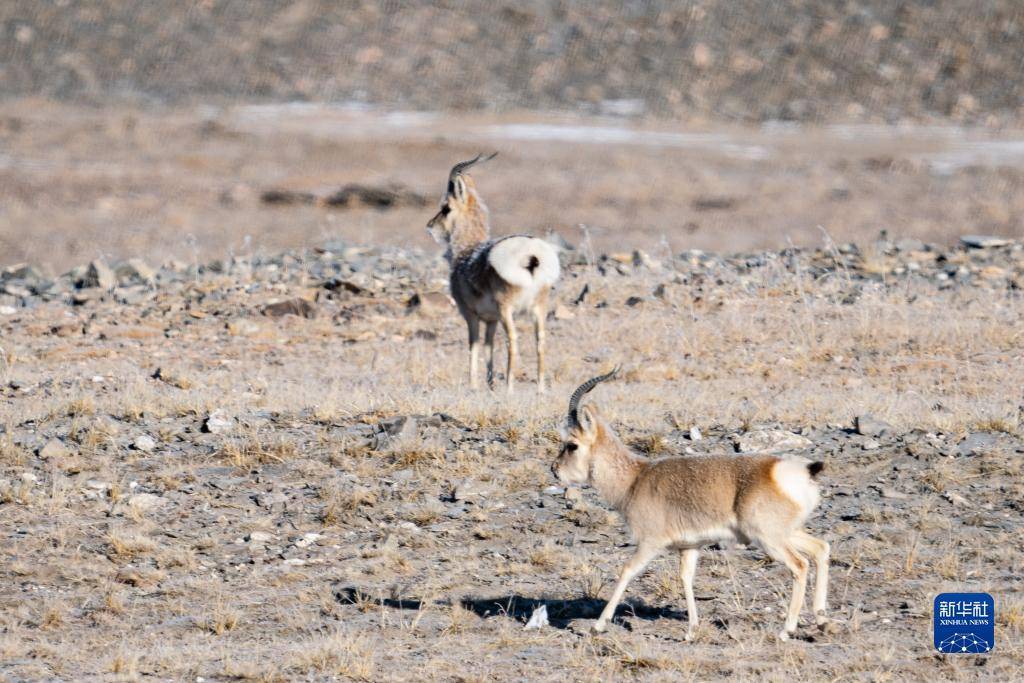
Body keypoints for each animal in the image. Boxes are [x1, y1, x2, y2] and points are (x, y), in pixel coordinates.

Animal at [428, 152, 565, 393]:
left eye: (446, 208)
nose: (430, 226)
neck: (467, 253)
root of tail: (531, 255)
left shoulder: (470, 315)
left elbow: (473, 345)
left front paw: (473, 385)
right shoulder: (490, 320)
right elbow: (489, 346)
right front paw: (490, 385)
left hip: (507, 310)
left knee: (513, 340)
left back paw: (510, 388)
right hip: (538, 308)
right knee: (540, 341)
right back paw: (540, 390)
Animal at [552, 368, 831, 643]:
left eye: (571, 445)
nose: (554, 469)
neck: (635, 480)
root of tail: (796, 471)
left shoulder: (650, 543)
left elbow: (627, 570)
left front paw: (598, 625)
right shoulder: (690, 547)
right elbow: (686, 578)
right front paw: (691, 630)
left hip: (769, 538)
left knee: (800, 565)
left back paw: (787, 630)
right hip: (787, 533)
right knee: (820, 548)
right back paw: (822, 621)